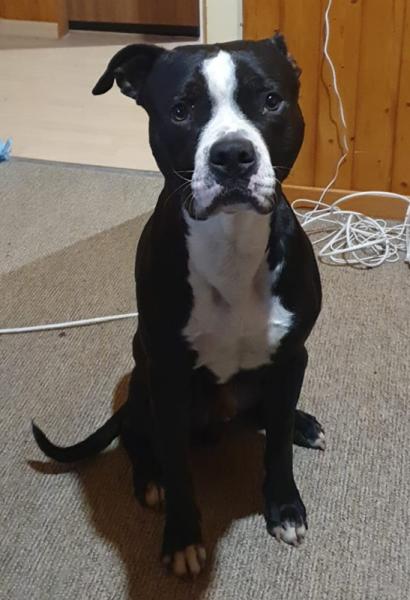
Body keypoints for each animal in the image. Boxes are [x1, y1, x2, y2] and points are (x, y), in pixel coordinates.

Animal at [33, 34, 324, 578]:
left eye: (271, 100)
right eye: (181, 110)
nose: (232, 155)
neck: (230, 242)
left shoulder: (292, 353)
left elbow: (276, 446)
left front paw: (283, 506)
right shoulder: (167, 376)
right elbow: (177, 464)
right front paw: (183, 537)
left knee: (269, 414)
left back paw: (300, 422)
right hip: (143, 380)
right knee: (135, 434)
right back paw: (150, 480)